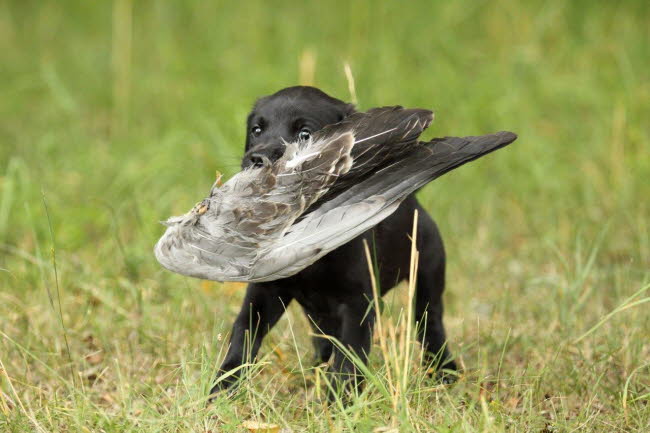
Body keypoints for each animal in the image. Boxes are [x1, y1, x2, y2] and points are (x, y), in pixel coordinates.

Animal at [210, 85, 454, 394]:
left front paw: (342, 400)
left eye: (305, 134)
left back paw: (445, 372)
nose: (257, 159)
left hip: (426, 275)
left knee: (431, 325)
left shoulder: (358, 303)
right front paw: (222, 388)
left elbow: (349, 356)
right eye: (256, 130)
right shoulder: (265, 292)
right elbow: (244, 332)